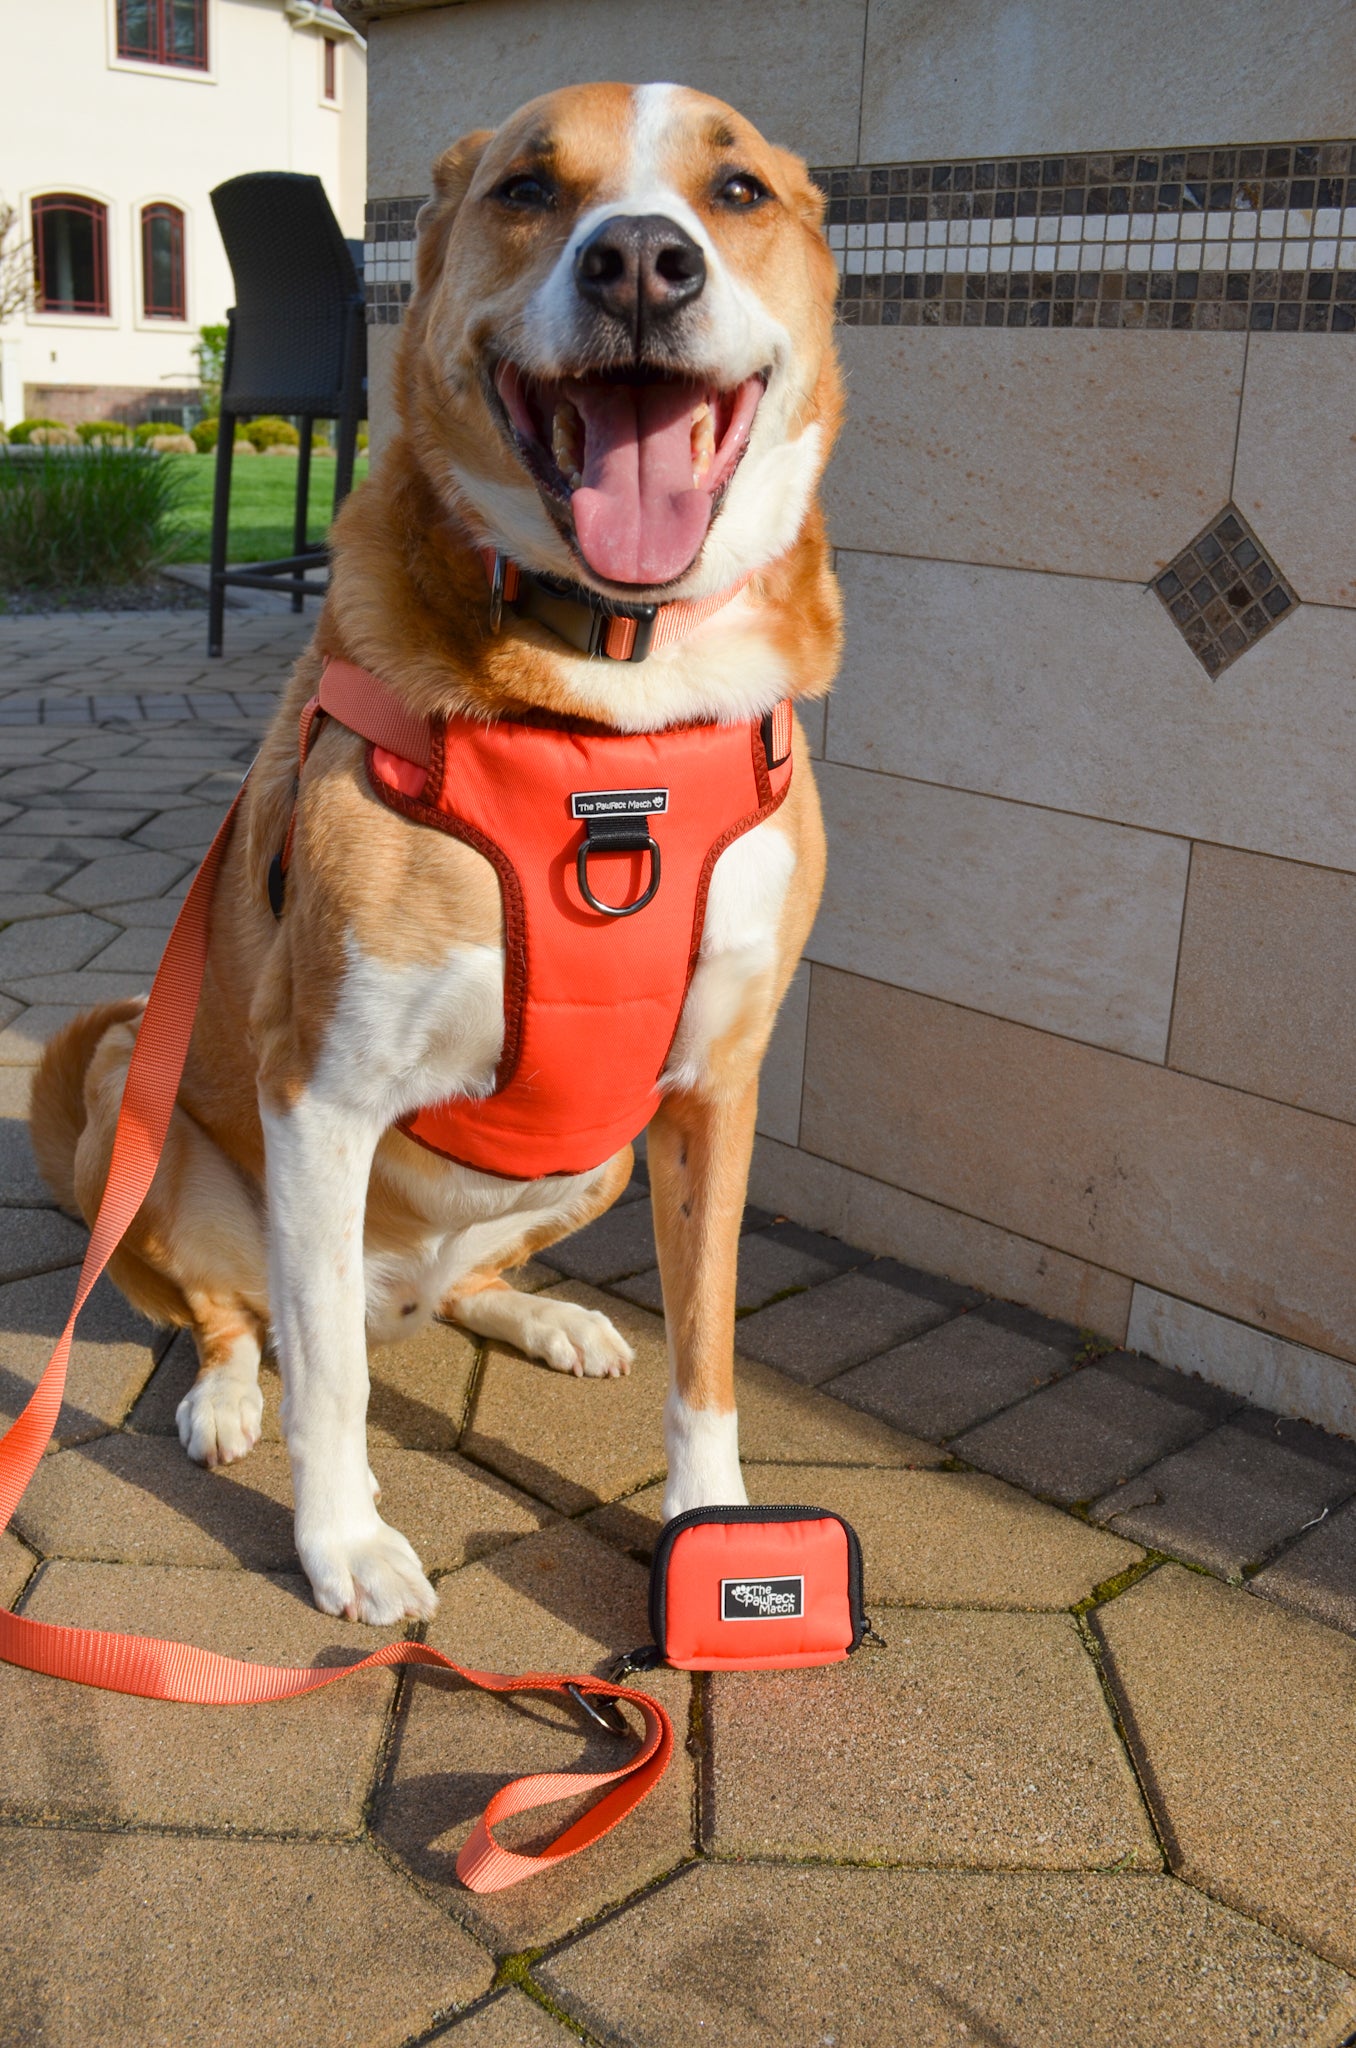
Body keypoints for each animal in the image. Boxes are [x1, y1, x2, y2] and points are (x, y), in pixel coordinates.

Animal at [29, 79, 839, 1622]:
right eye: (529, 188)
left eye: (739, 192)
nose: (640, 262)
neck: (610, 710)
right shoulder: (320, 1092)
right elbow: (331, 1379)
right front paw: (342, 1541)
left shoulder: (717, 1091)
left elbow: (710, 1350)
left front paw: (718, 1535)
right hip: (133, 1107)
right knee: (246, 1318)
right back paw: (229, 1401)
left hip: (596, 1159)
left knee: (449, 1287)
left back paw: (535, 1314)